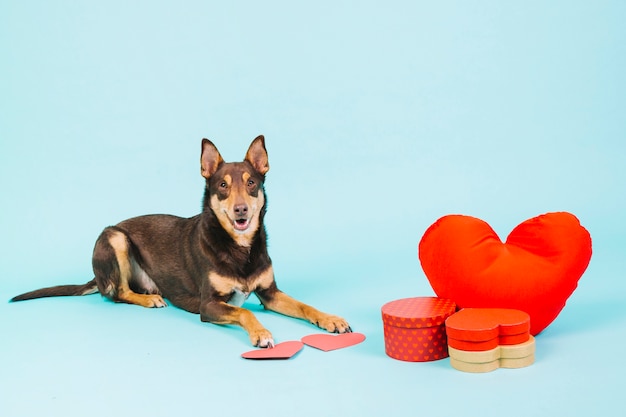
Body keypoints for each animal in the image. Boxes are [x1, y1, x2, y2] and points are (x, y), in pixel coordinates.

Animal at [11, 136, 352, 344]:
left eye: (252, 183)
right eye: (222, 186)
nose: (241, 209)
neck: (238, 248)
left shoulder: (270, 293)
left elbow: (305, 306)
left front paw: (330, 319)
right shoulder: (208, 305)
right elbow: (245, 311)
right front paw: (261, 334)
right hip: (114, 236)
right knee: (117, 292)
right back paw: (148, 299)